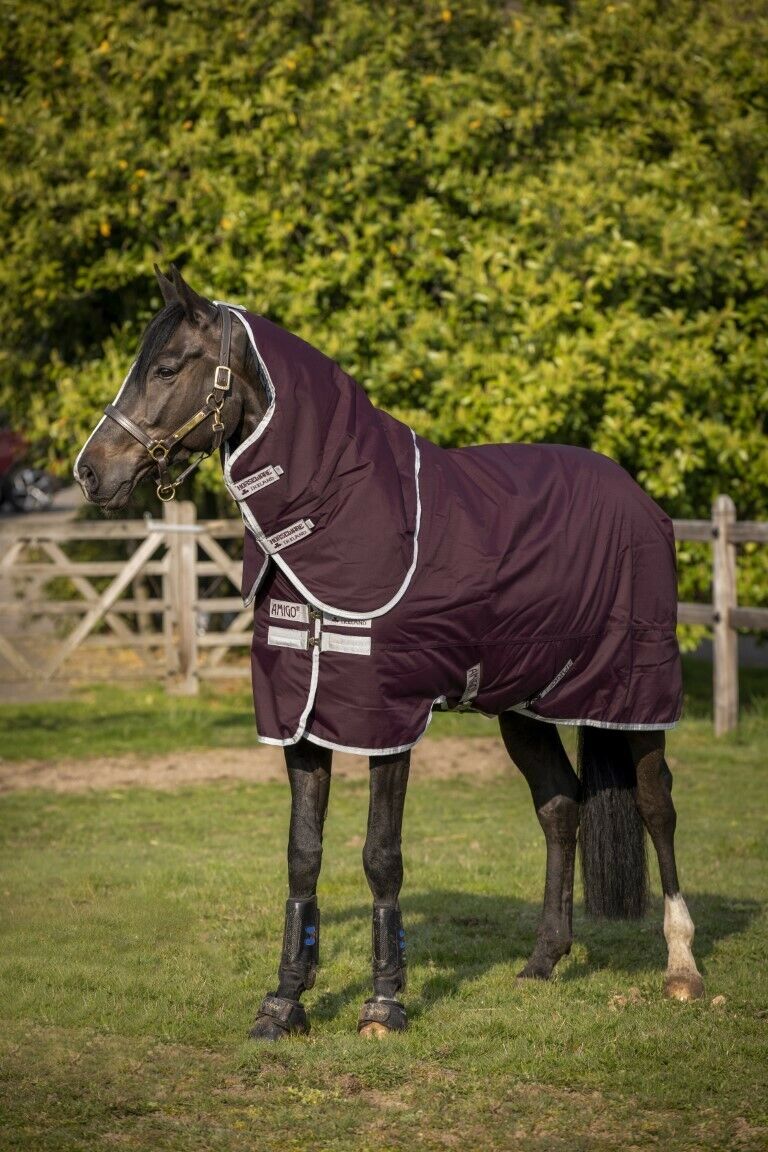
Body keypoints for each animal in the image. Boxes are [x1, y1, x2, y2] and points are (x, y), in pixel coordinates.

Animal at [75, 265, 704, 1040]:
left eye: (166, 368)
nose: (90, 473)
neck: (340, 513)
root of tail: (640, 499)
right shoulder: (301, 721)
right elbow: (301, 857)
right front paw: (285, 1001)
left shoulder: (386, 722)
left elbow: (380, 856)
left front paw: (383, 1004)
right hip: (522, 703)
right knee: (560, 806)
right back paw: (542, 960)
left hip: (637, 694)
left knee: (656, 805)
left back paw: (681, 967)